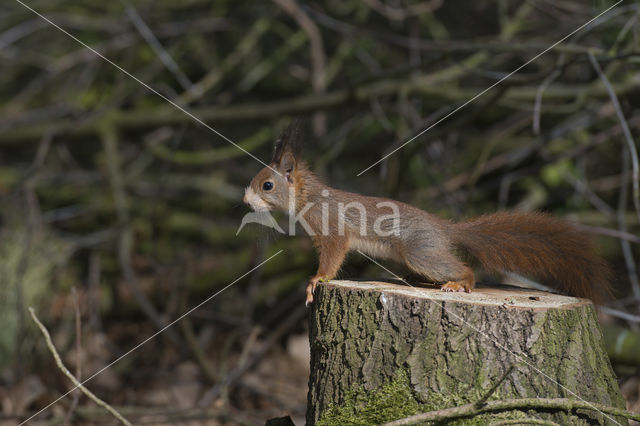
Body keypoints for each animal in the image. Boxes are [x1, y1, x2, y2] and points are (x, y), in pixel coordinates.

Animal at [242, 121, 612, 304]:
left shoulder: (331, 228)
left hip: (419, 250)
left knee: (463, 268)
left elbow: (334, 255)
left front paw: (316, 280)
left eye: (267, 186)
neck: (308, 198)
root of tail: (446, 229)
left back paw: (459, 283)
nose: (245, 202)